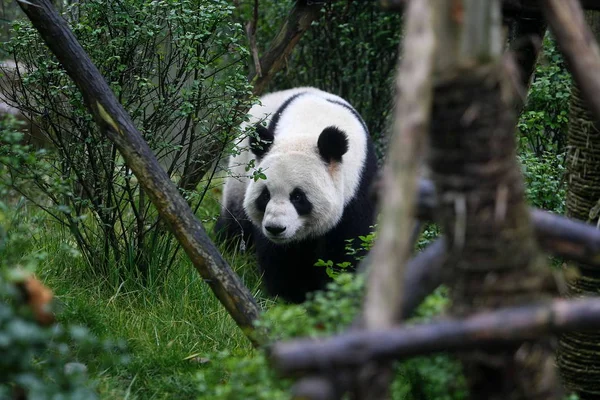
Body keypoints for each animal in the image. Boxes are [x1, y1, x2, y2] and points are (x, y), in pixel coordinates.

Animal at [214, 87, 376, 304]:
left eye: (298, 197)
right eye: (265, 195)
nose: (275, 228)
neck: (308, 130)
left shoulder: (357, 187)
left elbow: (347, 248)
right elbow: (280, 258)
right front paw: (290, 297)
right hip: (240, 166)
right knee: (236, 221)